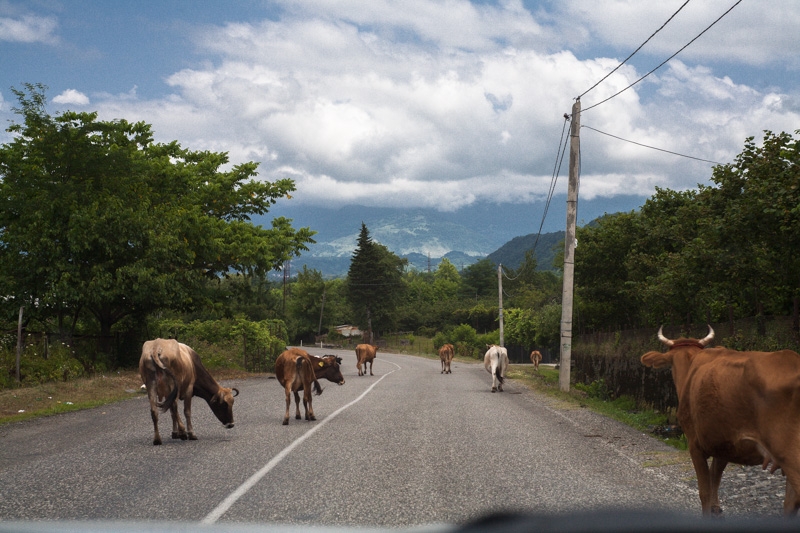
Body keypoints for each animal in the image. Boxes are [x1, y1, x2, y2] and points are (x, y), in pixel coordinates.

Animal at [640, 324, 800, 516]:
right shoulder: (725, 444)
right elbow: (715, 476)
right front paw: (716, 507)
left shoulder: (695, 444)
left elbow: (704, 491)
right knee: (790, 503)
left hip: (791, 457)